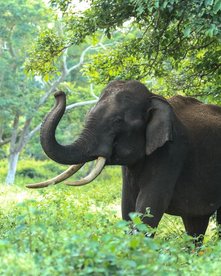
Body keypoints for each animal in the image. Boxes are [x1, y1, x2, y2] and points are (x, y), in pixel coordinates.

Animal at [27, 80, 221, 244]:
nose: (58, 93)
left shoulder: (172, 153)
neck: (153, 97)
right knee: (195, 224)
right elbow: (128, 207)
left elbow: (149, 207)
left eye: (117, 121)